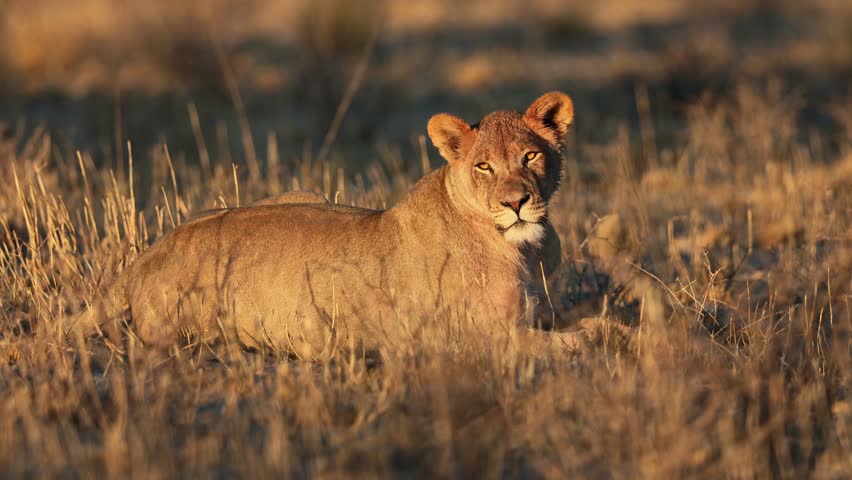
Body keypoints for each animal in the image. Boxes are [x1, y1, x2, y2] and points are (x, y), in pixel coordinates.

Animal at [77, 92, 579, 357]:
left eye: (530, 156)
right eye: (484, 167)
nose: (516, 202)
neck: (524, 248)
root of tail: (147, 256)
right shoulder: (484, 337)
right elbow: (580, 341)